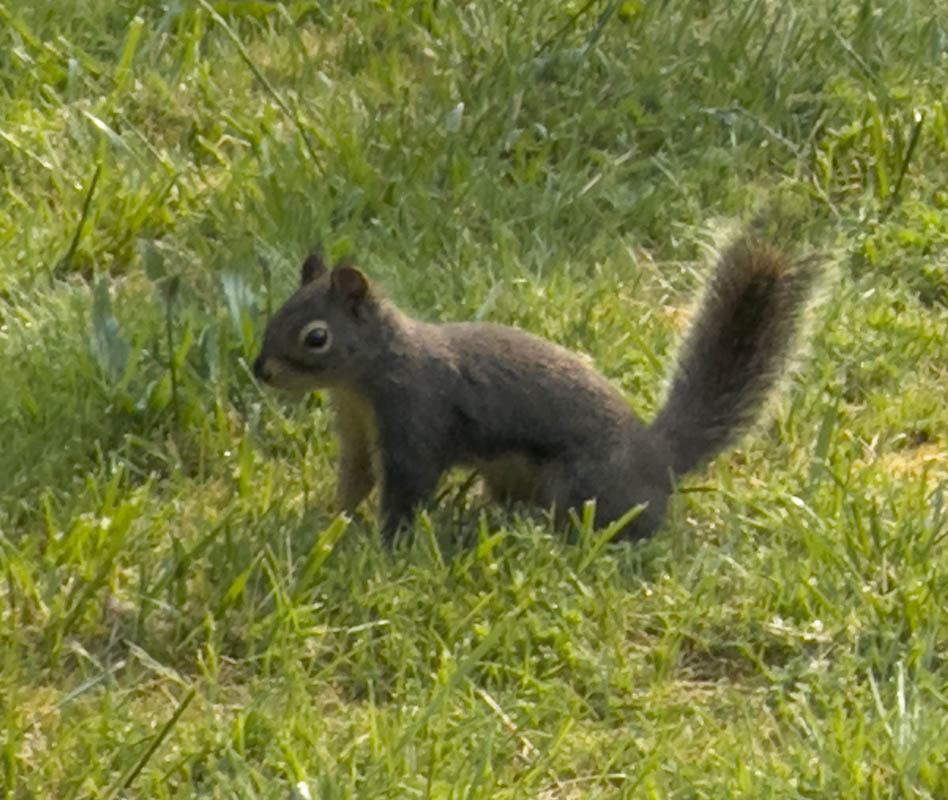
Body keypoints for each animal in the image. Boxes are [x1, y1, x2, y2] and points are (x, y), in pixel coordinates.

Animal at [253, 240, 815, 542]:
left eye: (316, 337)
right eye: (276, 313)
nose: (260, 371)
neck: (363, 383)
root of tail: (658, 460)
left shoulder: (415, 419)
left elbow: (406, 490)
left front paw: (382, 546)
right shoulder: (356, 429)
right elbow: (355, 479)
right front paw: (330, 522)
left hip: (584, 486)